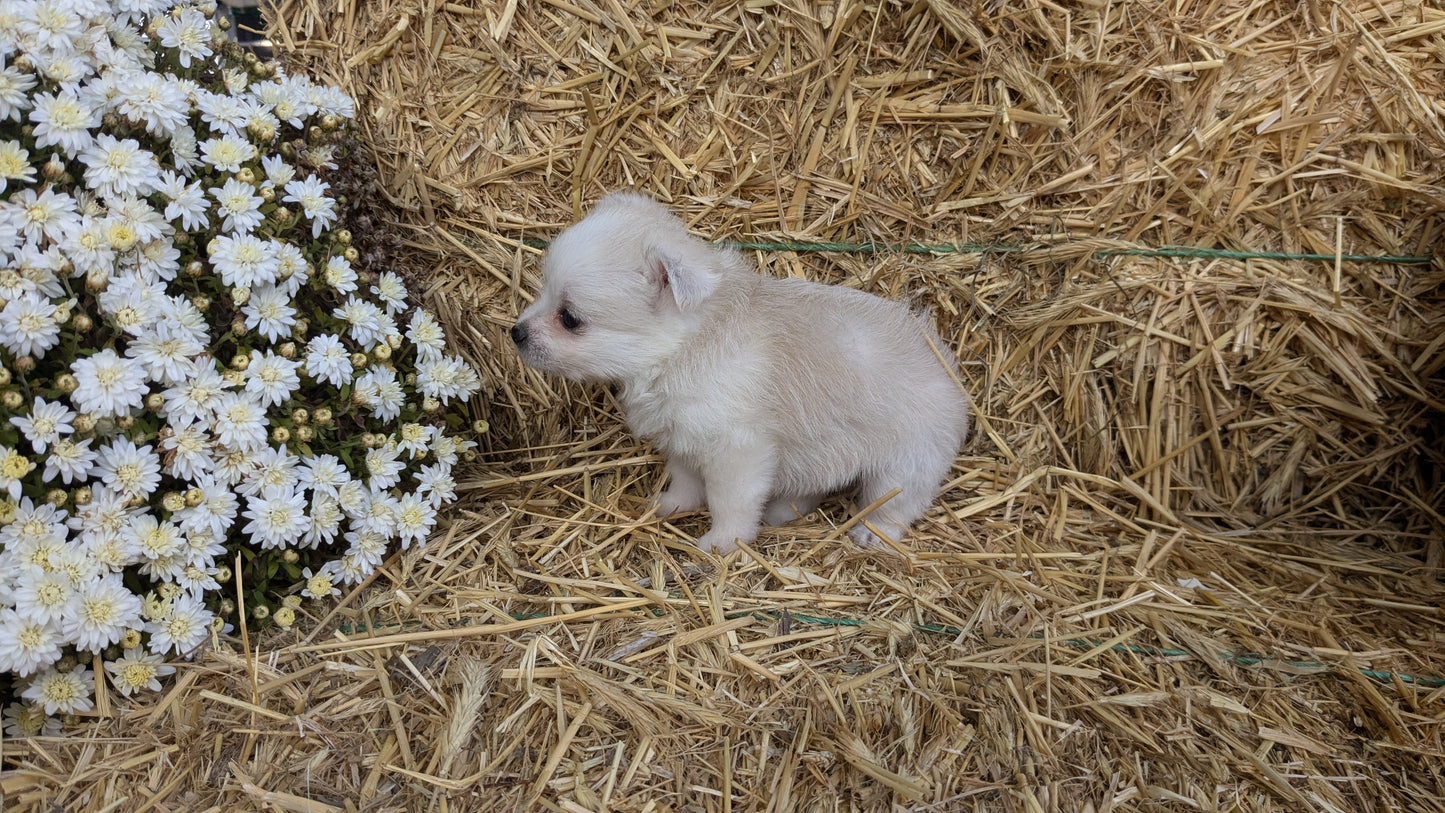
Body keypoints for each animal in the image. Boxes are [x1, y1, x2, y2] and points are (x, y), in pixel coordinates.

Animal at [511, 193, 971, 557]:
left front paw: (722, 544)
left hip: (908, 462)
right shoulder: (683, 438)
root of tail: (945, 363)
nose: (516, 333)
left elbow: (729, 503)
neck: (680, 351)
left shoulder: (737, 453)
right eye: (544, 290)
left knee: (895, 505)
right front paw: (671, 506)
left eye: (570, 318)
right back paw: (783, 510)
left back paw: (870, 535)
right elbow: (685, 482)